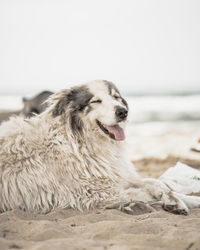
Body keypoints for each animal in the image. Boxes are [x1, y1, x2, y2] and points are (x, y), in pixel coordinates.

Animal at [0, 81, 200, 214]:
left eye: (116, 97)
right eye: (95, 101)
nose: (123, 111)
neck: (80, 141)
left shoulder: (116, 175)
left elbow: (157, 183)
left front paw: (181, 200)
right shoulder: (96, 193)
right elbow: (143, 192)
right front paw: (166, 202)